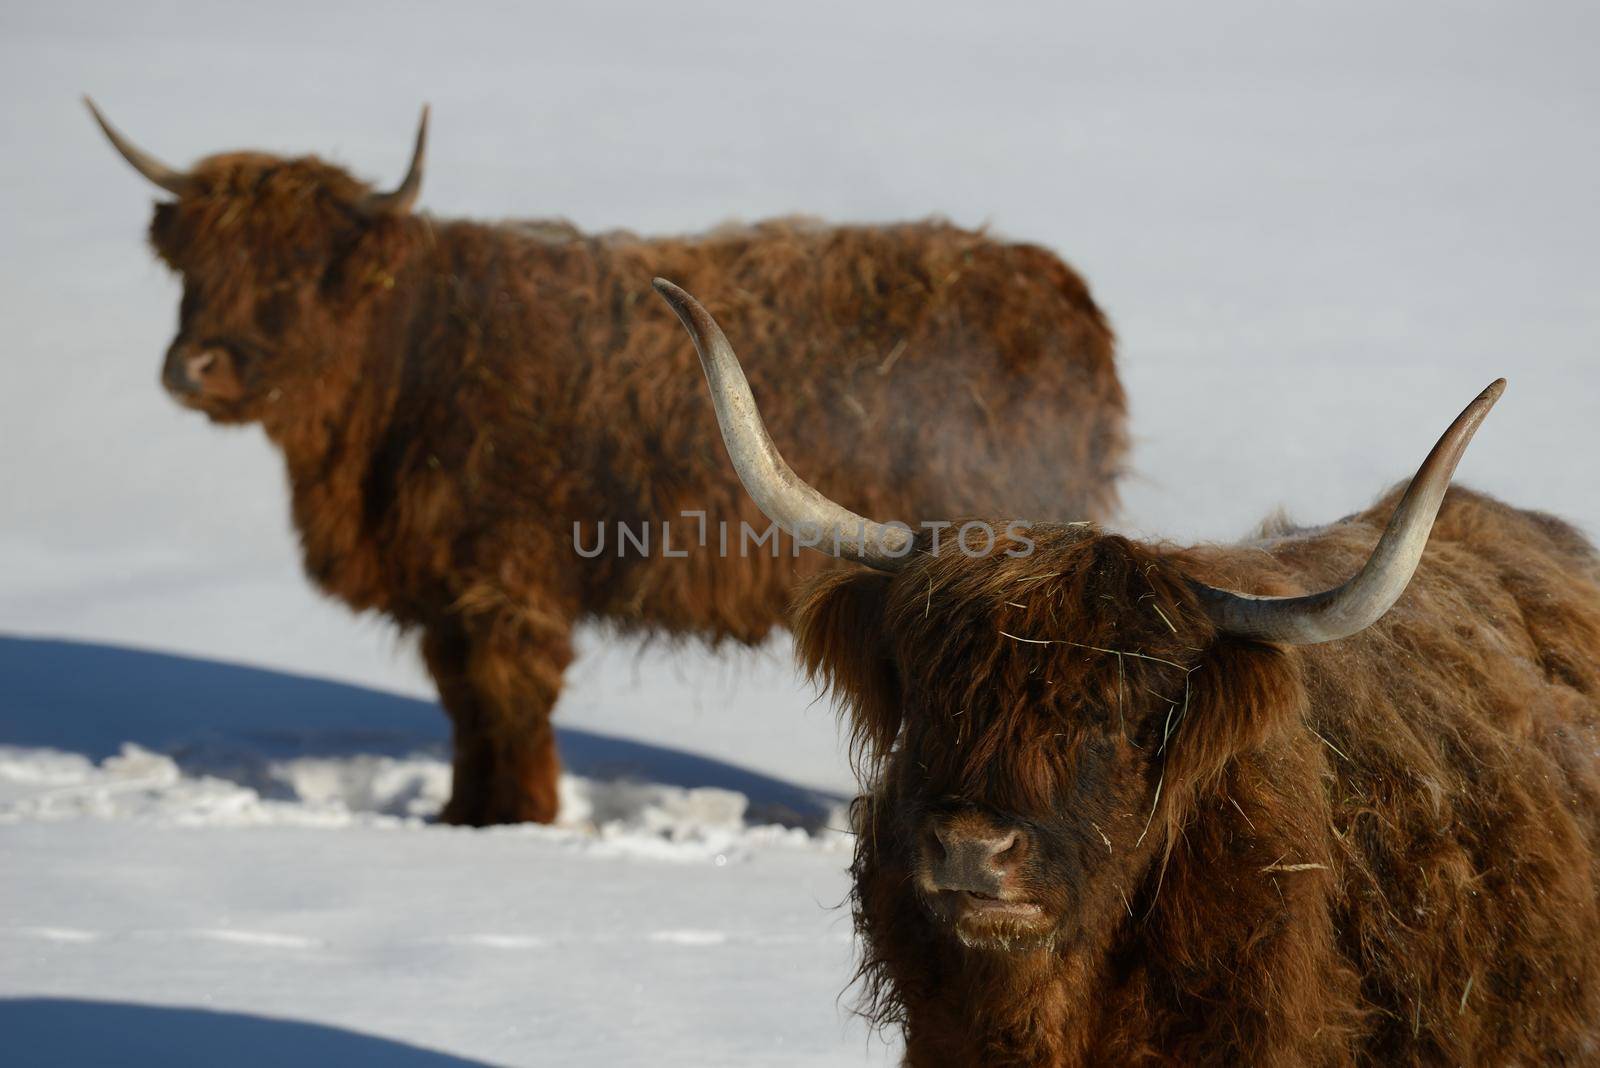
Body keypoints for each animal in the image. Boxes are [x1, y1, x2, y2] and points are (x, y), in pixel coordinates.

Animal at [78, 102, 1126, 824]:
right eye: (192, 267)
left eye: (295, 269)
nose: (194, 367)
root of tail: (1055, 291)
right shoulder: (449, 593)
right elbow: (466, 710)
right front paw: (461, 818)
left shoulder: (504, 583)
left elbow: (508, 706)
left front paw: (514, 823)